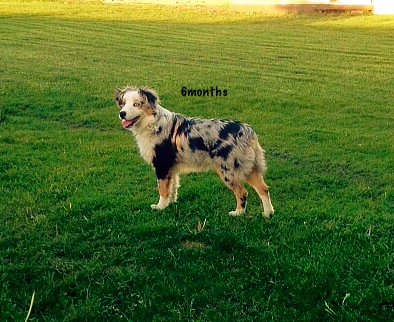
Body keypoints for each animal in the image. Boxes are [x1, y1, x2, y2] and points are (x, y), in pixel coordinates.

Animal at [114, 87, 274, 218]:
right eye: (123, 104)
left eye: (137, 104)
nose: (122, 114)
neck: (152, 122)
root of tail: (248, 131)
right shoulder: (171, 168)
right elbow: (172, 187)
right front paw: (170, 204)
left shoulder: (162, 164)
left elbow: (162, 189)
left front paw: (160, 207)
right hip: (248, 167)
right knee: (263, 189)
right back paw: (268, 214)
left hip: (228, 170)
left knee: (243, 192)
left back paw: (238, 213)